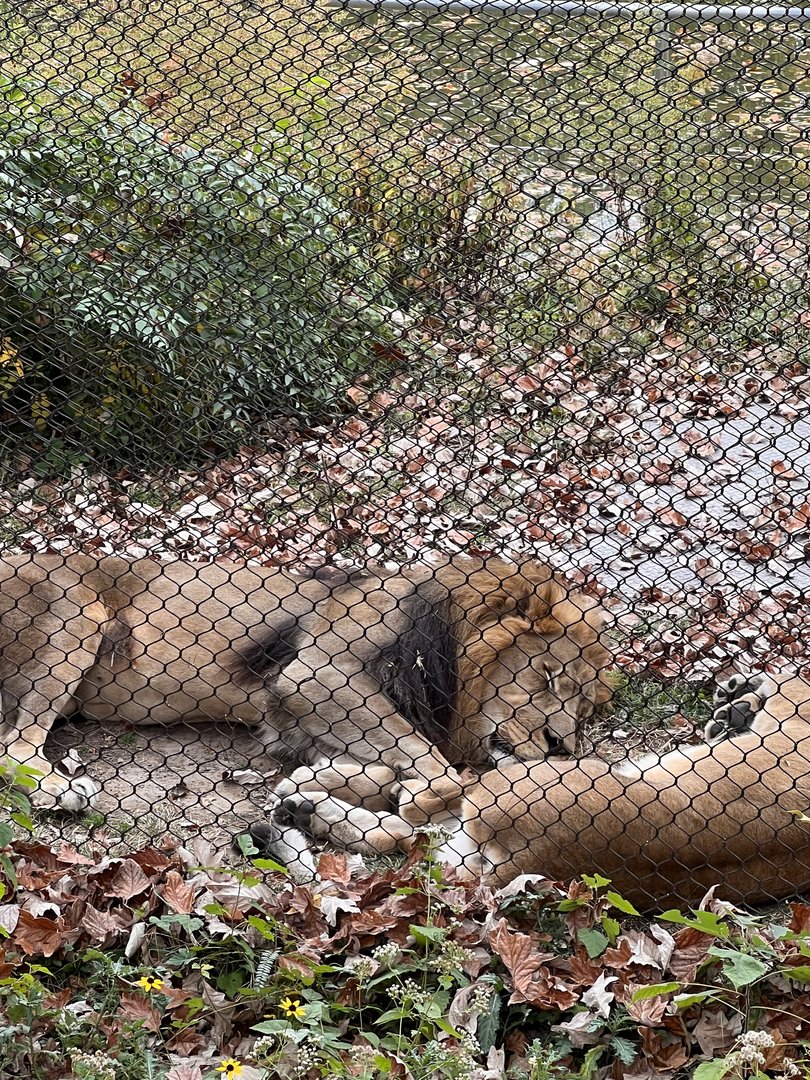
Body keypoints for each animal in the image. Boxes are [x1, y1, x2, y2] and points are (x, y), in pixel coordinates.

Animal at [0, 552, 613, 810]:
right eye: (550, 677)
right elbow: (436, 767)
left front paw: (323, 781)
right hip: (77, 619)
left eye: (584, 707)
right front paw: (411, 791)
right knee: (14, 746)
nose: (561, 747)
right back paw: (60, 789)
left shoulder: (306, 715)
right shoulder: (314, 673)